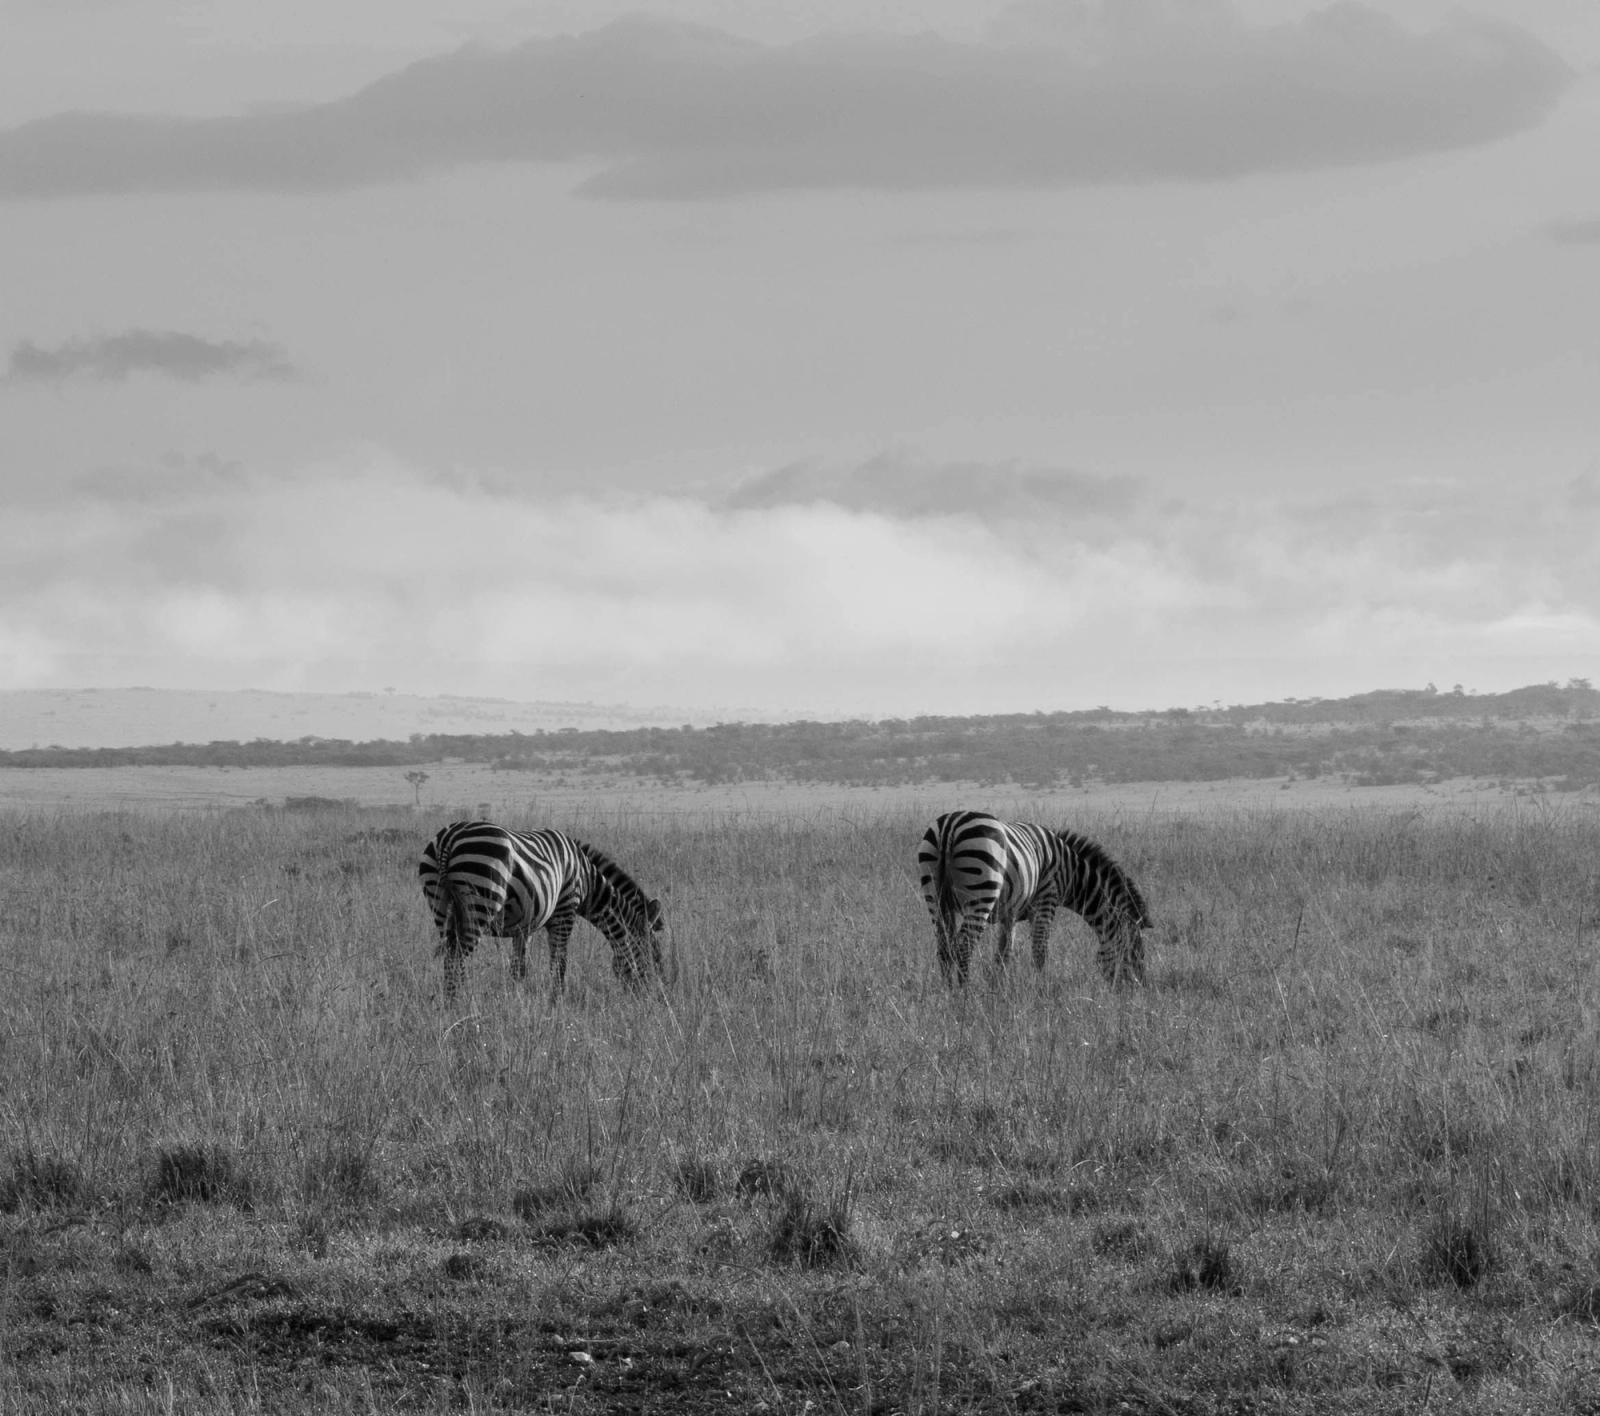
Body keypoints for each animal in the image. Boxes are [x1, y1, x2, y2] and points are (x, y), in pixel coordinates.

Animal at [419, 821, 664, 998]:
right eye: (654, 956)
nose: (651, 997)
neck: (586, 878)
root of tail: (449, 838)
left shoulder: (523, 926)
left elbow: (519, 968)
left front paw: (516, 999)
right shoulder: (565, 909)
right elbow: (560, 961)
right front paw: (557, 1000)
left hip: (440, 904)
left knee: (450, 956)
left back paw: (454, 1001)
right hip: (480, 901)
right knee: (456, 957)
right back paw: (458, 1003)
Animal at [917, 810, 1149, 988]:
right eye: (1133, 955)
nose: (1137, 992)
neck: (1071, 871)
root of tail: (950, 824)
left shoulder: (1009, 913)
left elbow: (1004, 953)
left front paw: (998, 989)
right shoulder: (1047, 899)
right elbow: (1040, 951)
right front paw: (1042, 990)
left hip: (934, 895)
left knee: (944, 948)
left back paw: (949, 993)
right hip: (982, 892)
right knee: (964, 946)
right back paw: (965, 996)